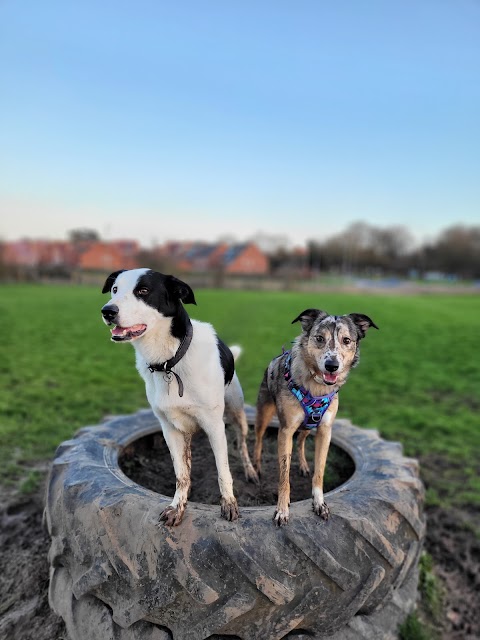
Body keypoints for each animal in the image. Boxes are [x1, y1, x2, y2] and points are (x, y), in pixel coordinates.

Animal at [101, 268, 258, 524]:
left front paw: (229, 503)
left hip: (237, 413)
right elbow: (181, 473)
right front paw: (178, 506)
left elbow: (223, 470)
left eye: (143, 290)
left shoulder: (215, 426)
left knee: (243, 443)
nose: (107, 311)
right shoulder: (170, 429)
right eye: (115, 289)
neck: (169, 361)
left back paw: (251, 471)